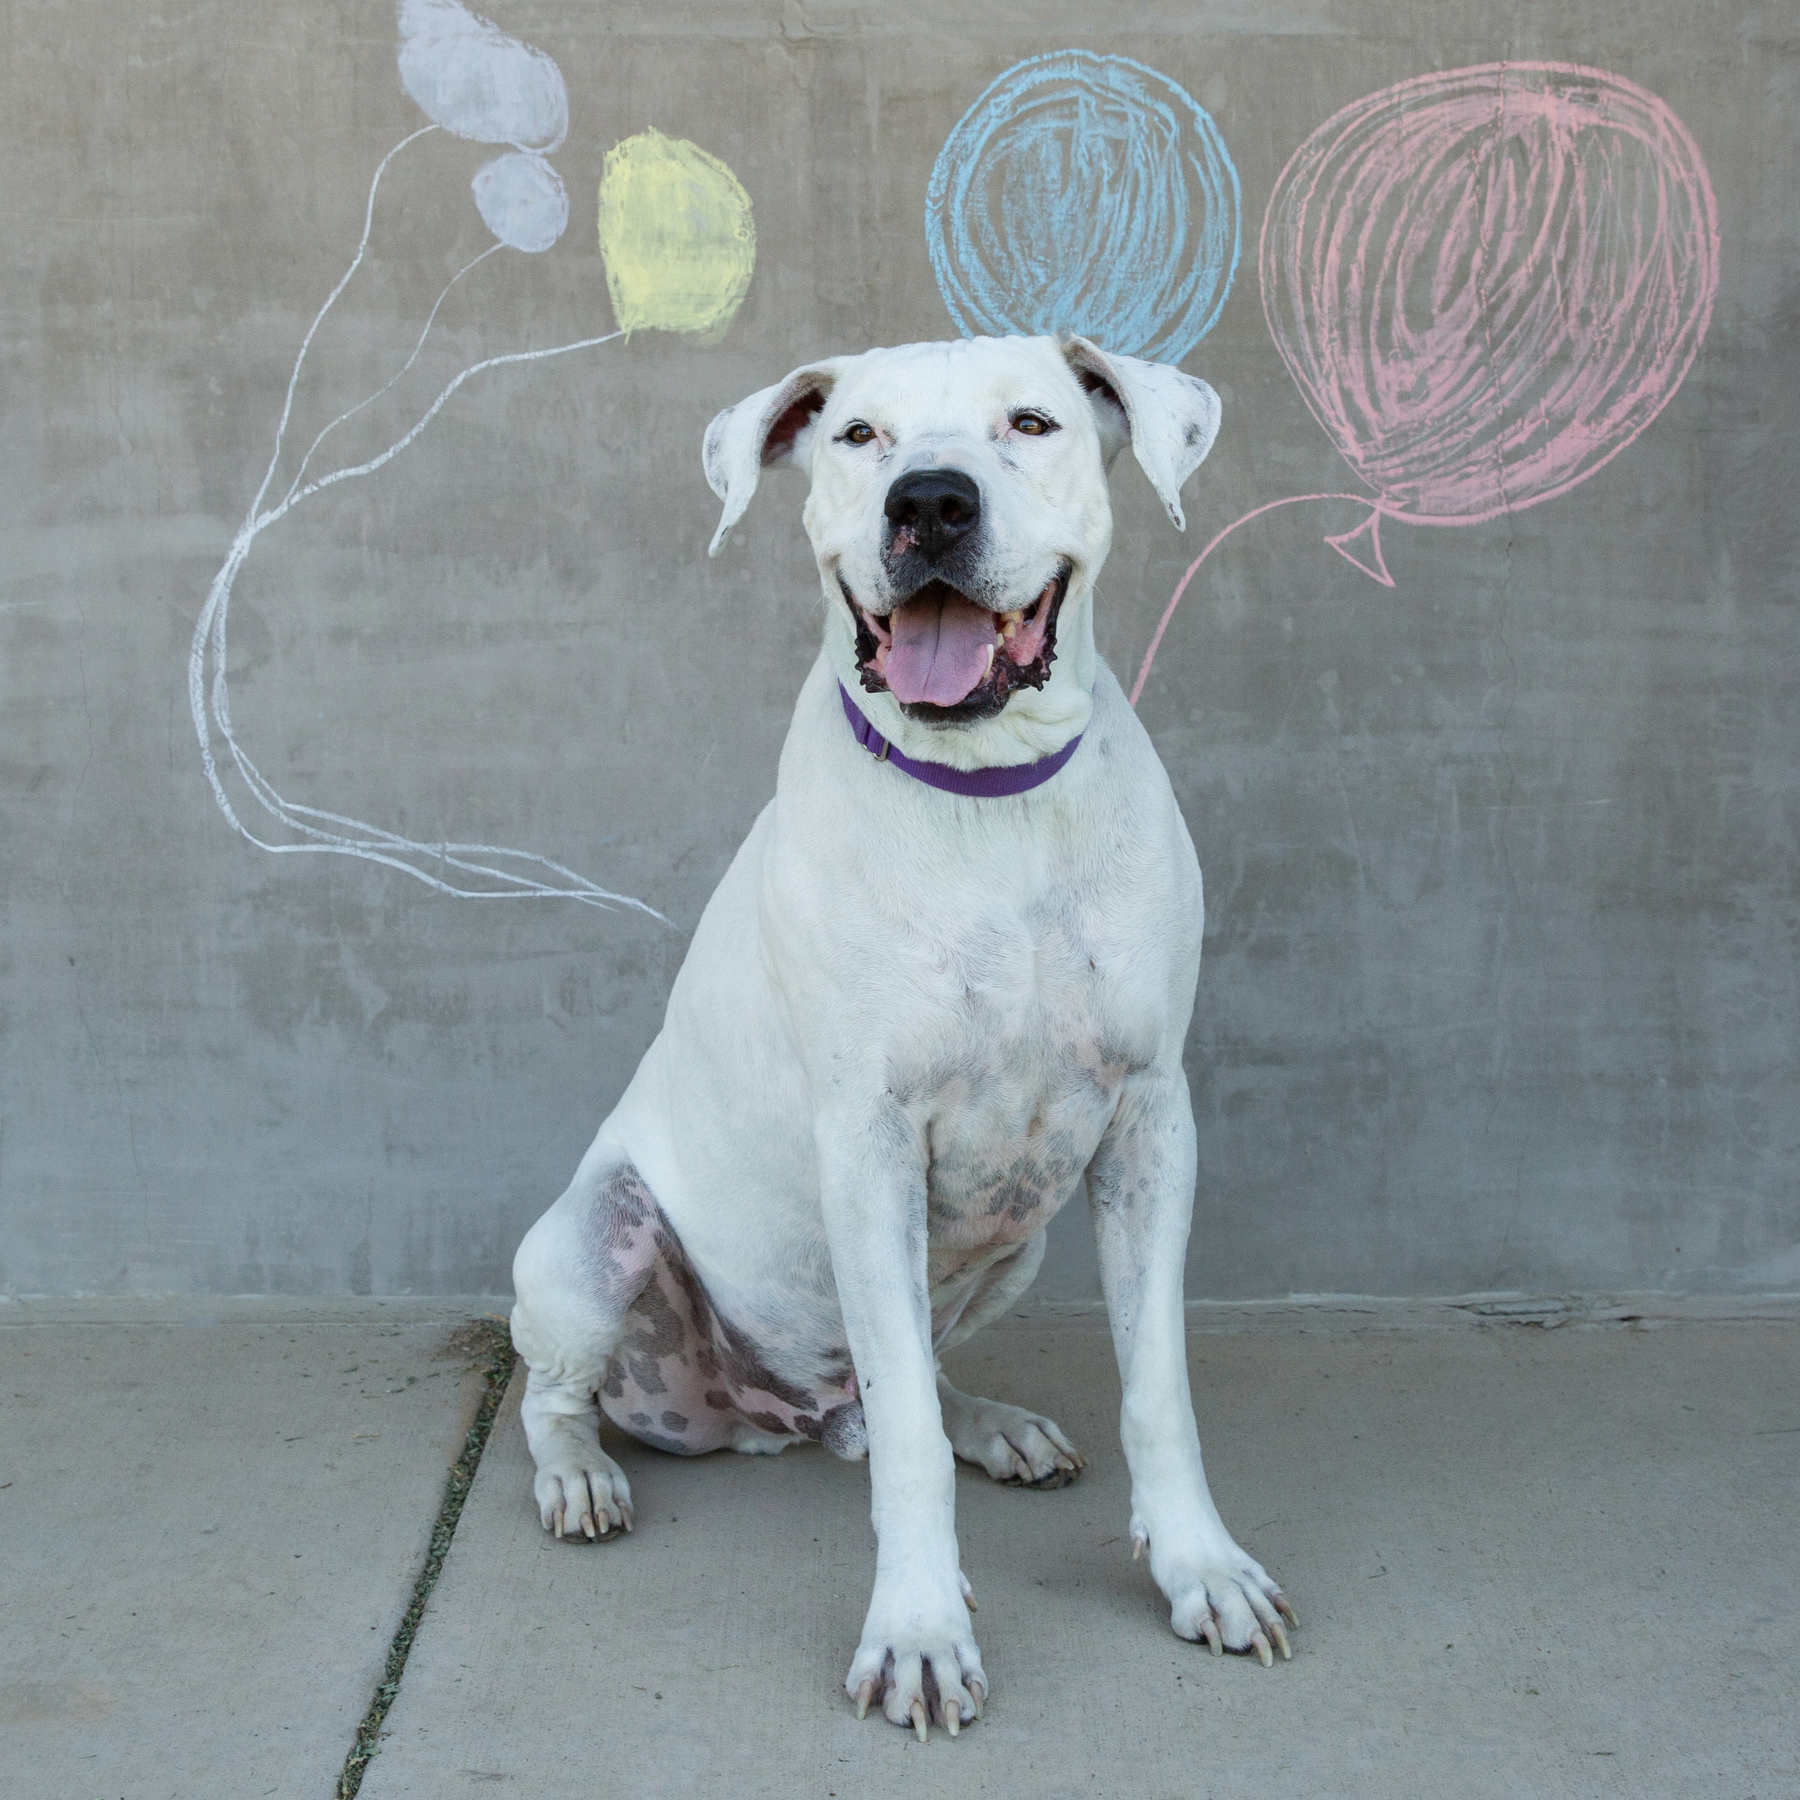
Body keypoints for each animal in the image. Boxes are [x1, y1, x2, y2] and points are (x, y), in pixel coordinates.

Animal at [507, 331, 1296, 1735]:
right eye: (858, 436)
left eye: (1030, 422)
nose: (929, 500)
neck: (989, 802)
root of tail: (763, 1415)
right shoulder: (866, 1146)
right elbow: (910, 1450)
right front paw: (922, 1631)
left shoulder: (1151, 1118)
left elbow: (1156, 1388)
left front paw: (1200, 1569)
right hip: (591, 1242)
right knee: (567, 1396)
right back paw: (580, 1476)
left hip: (1013, 1245)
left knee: (901, 1390)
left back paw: (990, 1424)